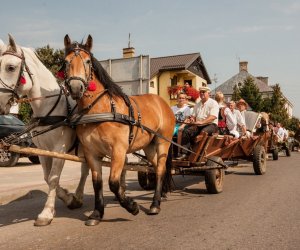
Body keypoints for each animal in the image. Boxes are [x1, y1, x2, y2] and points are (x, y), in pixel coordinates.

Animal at [0, 34, 89, 227]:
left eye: (11, 67)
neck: (48, 108)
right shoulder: (42, 150)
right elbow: (48, 178)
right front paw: (69, 198)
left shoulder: (59, 149)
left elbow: (54, 178)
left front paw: (47, 212)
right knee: (86, 170)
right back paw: (78, 197)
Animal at [63, 34, 176, 225]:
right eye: (65, 61)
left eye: (87, 61)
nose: (76, 88)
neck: (100, 109)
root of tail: (162, 103)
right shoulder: (91, 153)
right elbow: (97, 183)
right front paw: (97, 213)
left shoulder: (118, 150)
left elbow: (114, 183)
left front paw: (132, 206)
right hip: (149, 146)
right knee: (156, 167)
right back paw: (160, 196)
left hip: (162, 142)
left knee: (160, 169)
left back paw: (155, 204)